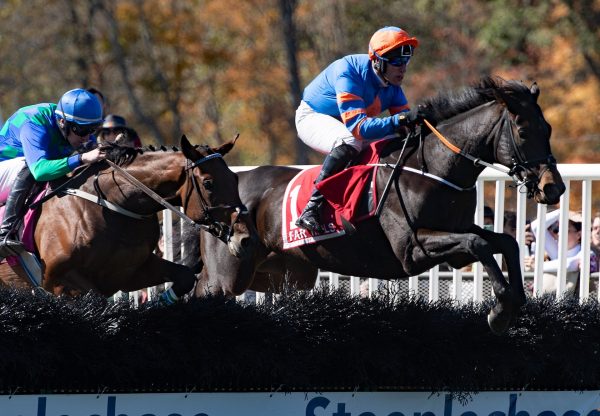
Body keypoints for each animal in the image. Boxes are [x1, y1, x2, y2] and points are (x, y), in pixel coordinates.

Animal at [0, 136, 258, 300]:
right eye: (208, 183)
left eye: (235, 178)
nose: (246, 238)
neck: (111, 203)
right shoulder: (58, 280)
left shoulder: (129, 273)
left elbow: (184, 277)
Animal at [198, 76, 568, 334]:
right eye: (523, 131)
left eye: (549, 128)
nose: (554, 187)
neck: (435, 167)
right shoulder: (412, 250)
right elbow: (479, 244)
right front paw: (499, 310)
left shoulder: (455, 236)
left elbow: (504, 242)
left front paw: (514, 302)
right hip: (228, 275)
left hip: (286, 273)